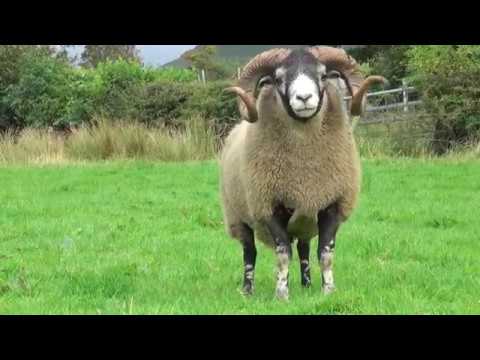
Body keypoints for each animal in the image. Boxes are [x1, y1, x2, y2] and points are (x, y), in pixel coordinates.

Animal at [219, 46, 384, 300]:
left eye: (323, 75)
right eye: (278, 79)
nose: (304, 98)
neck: (305, 172)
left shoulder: (331, 205)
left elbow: (325, 254)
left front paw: (328, 291)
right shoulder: (269, 207)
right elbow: (283, 254)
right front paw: (281, 294)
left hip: (305, 217)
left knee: (303, 248)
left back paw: (306, 284)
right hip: (238, 216)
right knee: (250, 253)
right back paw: (247, 290)